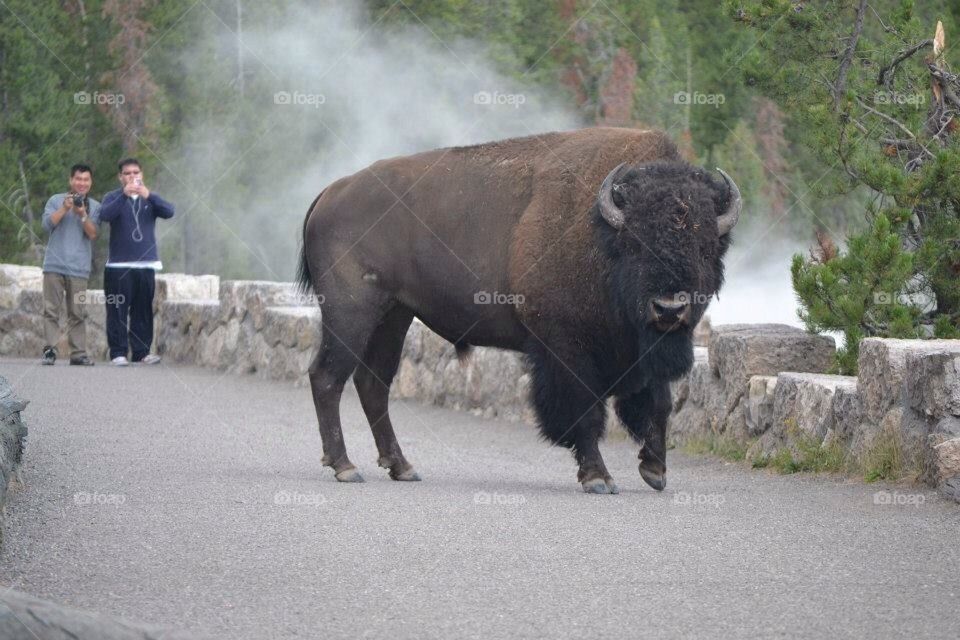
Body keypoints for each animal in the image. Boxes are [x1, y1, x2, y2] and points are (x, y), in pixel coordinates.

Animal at [296, 127, 740, 494]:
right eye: (634, 243)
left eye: (706, 247)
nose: (669, 307)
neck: (601, 234)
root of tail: (330, 193)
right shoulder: (566, 349)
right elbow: (586, 411)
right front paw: (598, 478)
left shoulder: (644, 351)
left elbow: (658, 405)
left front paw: (655, 471)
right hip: (351, 313)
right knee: (327, 377)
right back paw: (345, 467)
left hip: (394, 316)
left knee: (373, 383)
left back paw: (401, 467)